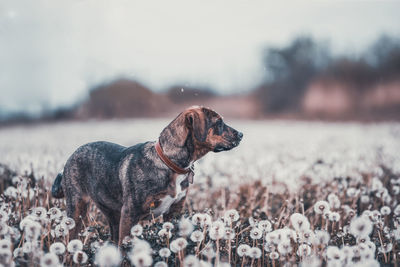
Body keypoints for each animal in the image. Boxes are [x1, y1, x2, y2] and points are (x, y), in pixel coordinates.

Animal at [51, 106, 242, 245]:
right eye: (219, 123)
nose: (241, 134)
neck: (169, 162)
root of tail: (70, 157)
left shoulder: (174, 212)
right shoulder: (130, 214)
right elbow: (124, 246)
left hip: (112, 213)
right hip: (77, 208)